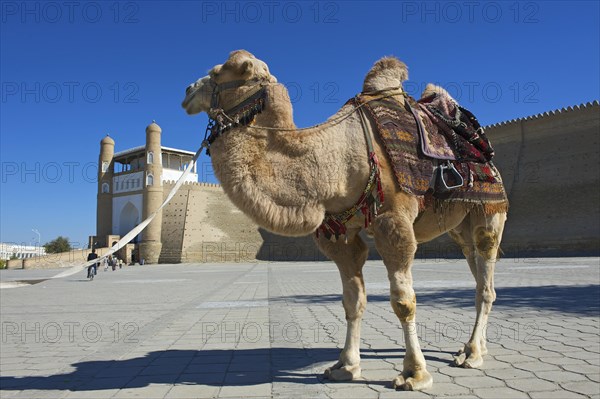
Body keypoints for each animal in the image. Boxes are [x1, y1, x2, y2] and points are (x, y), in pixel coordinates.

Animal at [182, 50, 506, 390]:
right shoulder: (339, 234)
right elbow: (352, 301)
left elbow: (403, 302)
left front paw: (414, 374)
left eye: (219, 72)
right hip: (460, 227)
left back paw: (472, 354)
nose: (188, 91)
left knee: (485, 274)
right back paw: (472, 347)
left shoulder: (393, 221)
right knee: (479, 274)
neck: (336, 160)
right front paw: (345, 366)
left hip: (489, 213)